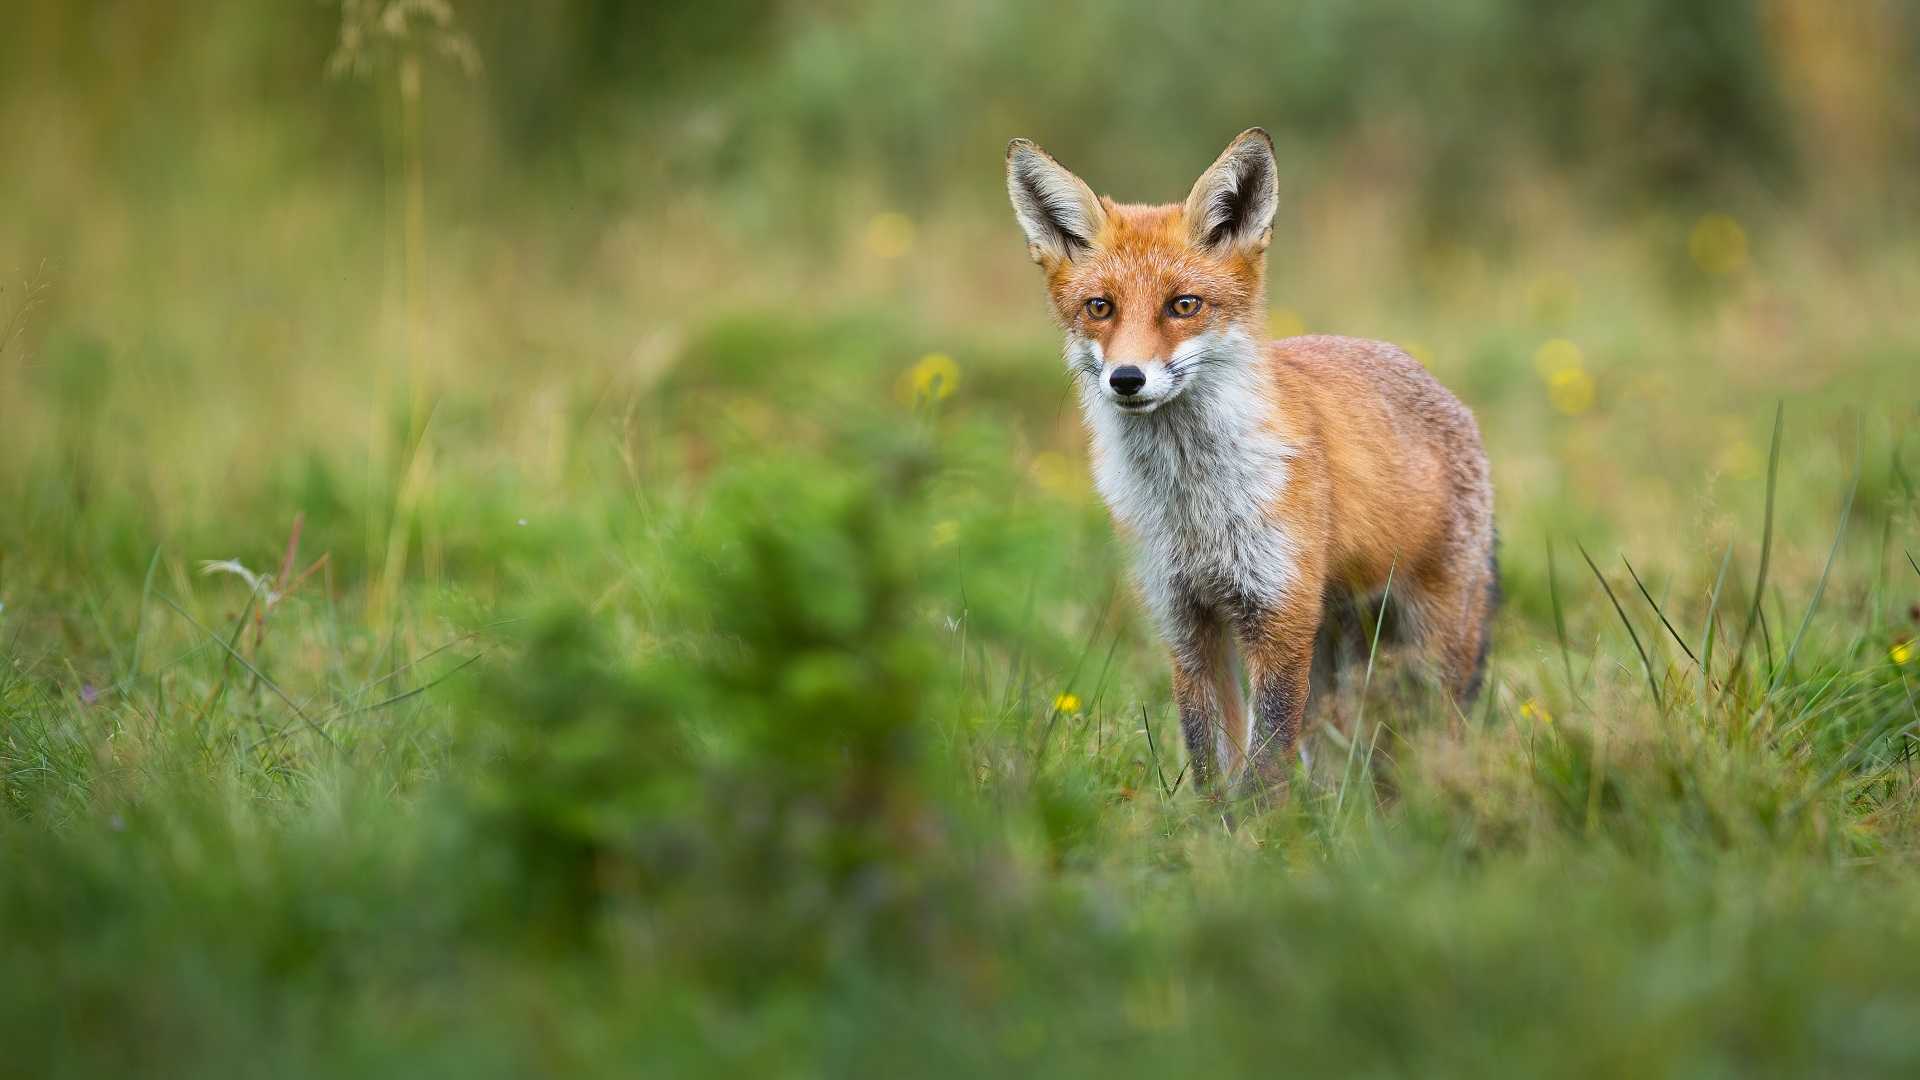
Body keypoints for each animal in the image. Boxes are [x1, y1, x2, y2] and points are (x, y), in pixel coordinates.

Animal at [1005, 128, 1497, 796]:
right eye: (1100, 307)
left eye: (1183, 305)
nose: (1127, 378)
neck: (1194, 504)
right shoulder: (1185, 619)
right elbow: (1209, 758)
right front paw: (1213, 826)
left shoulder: (1277, 614)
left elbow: (1264, 767)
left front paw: (1264, 826)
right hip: (1332, 644)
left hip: (1430, 639)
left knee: (1434, 732)